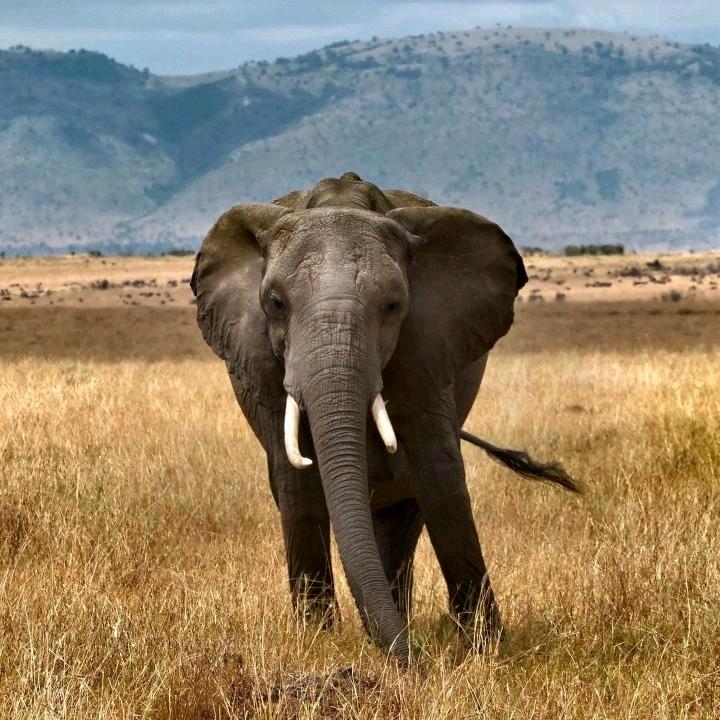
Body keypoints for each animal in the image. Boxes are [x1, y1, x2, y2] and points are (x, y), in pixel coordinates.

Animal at [191, 171, 578, 665]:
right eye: (275, 303)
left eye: (394, 305)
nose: (418, 662)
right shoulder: (267, 367)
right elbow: (297, 485)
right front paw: (317, 642)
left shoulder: (429, 348)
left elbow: (439, 478)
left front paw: (486, 648)